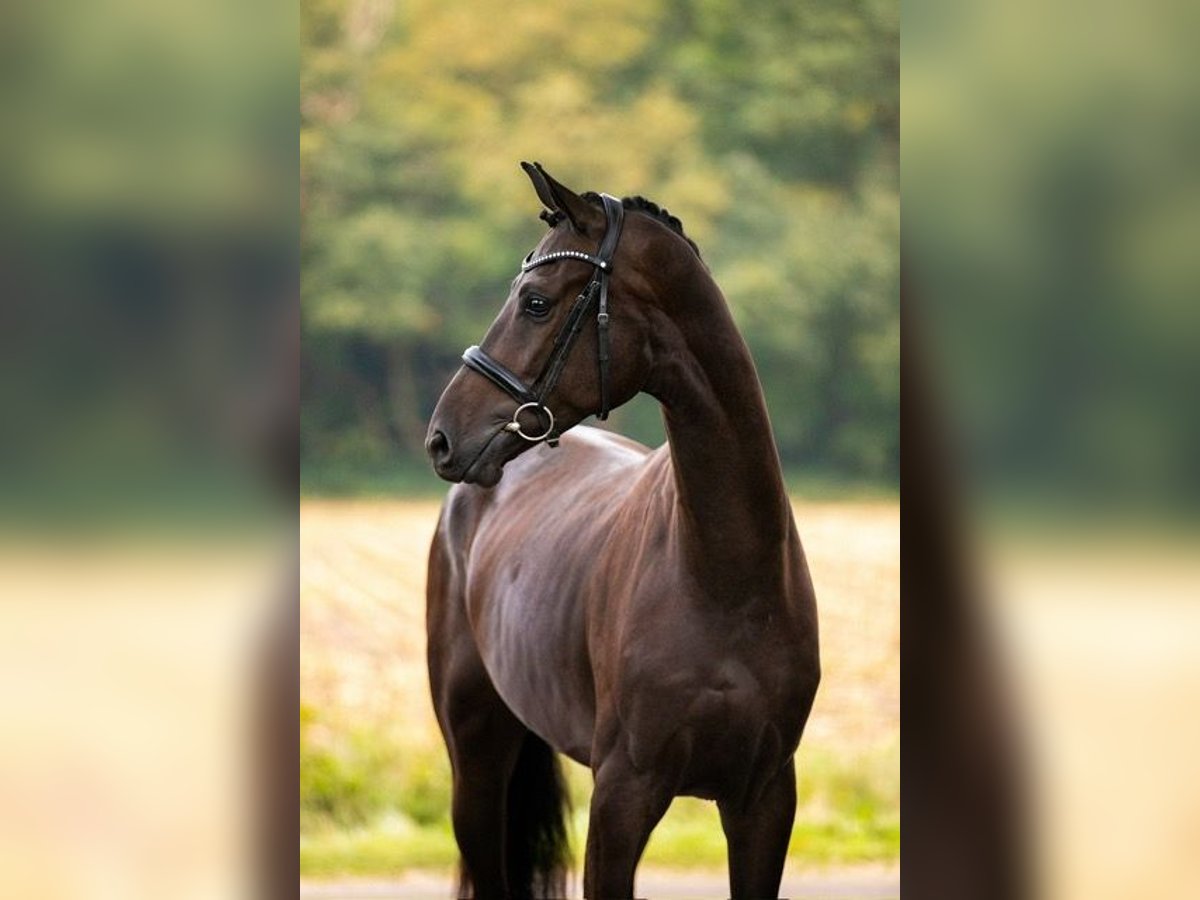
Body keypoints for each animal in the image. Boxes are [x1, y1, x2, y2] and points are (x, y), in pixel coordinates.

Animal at [424, 164, 825, 900]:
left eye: (535, 302)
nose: (442, 437)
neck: (726, 577)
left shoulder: (762, 800)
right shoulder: (623, 797)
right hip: (476, 760)